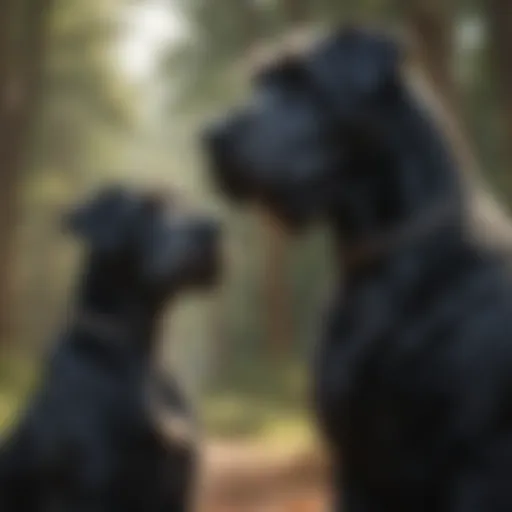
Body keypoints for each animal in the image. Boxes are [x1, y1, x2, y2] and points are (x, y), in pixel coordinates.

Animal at [204, 27, 512, 512]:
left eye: (305, 83)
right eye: (261, 83)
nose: (214, 136)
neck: (382, 268)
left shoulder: (478, 462)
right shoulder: (356, 463)